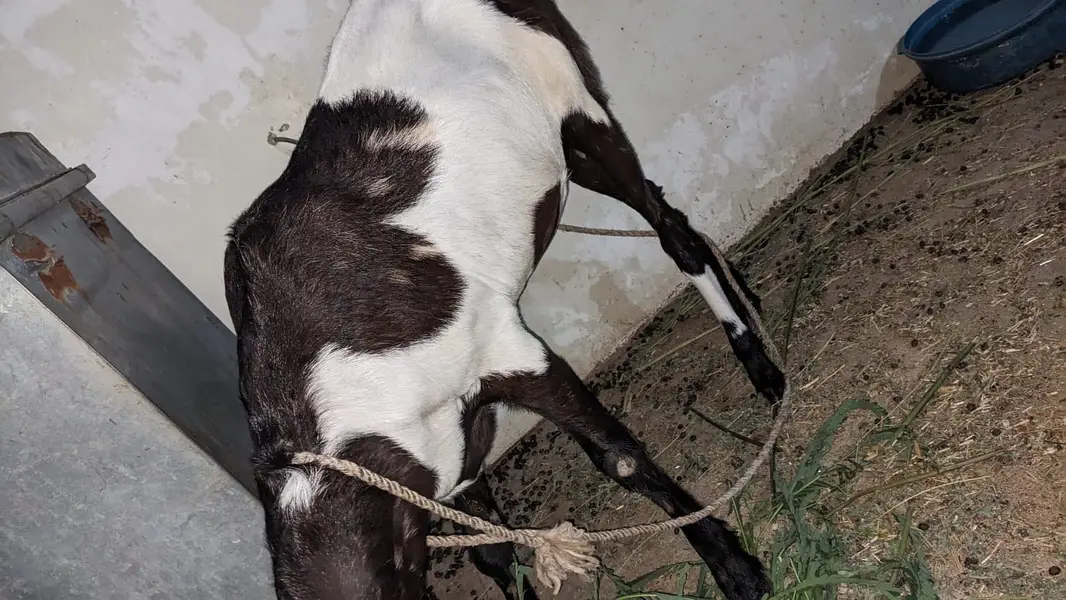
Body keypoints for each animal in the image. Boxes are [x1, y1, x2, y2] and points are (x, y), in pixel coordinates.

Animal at [223, 1, 786, 599]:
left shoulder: (508, 351)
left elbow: (621, 460)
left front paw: (735, 568)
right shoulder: (445, 455)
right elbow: (492, 551)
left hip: (580, 112)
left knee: (669, 230)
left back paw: (762, 367)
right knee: (666, 206)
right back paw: (746, 298)